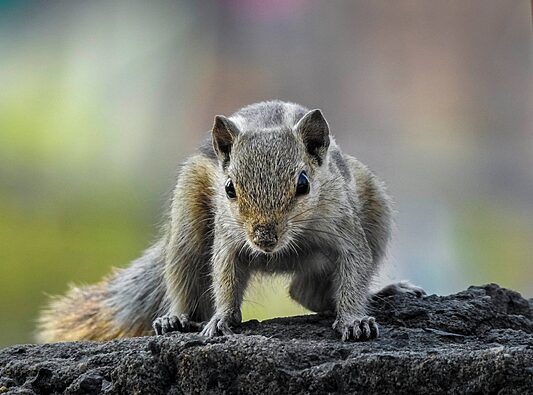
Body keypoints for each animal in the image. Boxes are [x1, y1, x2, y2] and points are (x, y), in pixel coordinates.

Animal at [36, 101, 424, 344]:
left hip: (376, 210)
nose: (264, 238)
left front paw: (355, 320)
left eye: (303, 184)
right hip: (187, 224)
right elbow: (223, 275)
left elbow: (354, 272)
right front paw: (222, 318)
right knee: (185, 276)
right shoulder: (228, 238)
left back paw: (385, 292)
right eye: (229, 188)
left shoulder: (346, 230)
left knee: (306, 292)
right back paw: (175, 318)